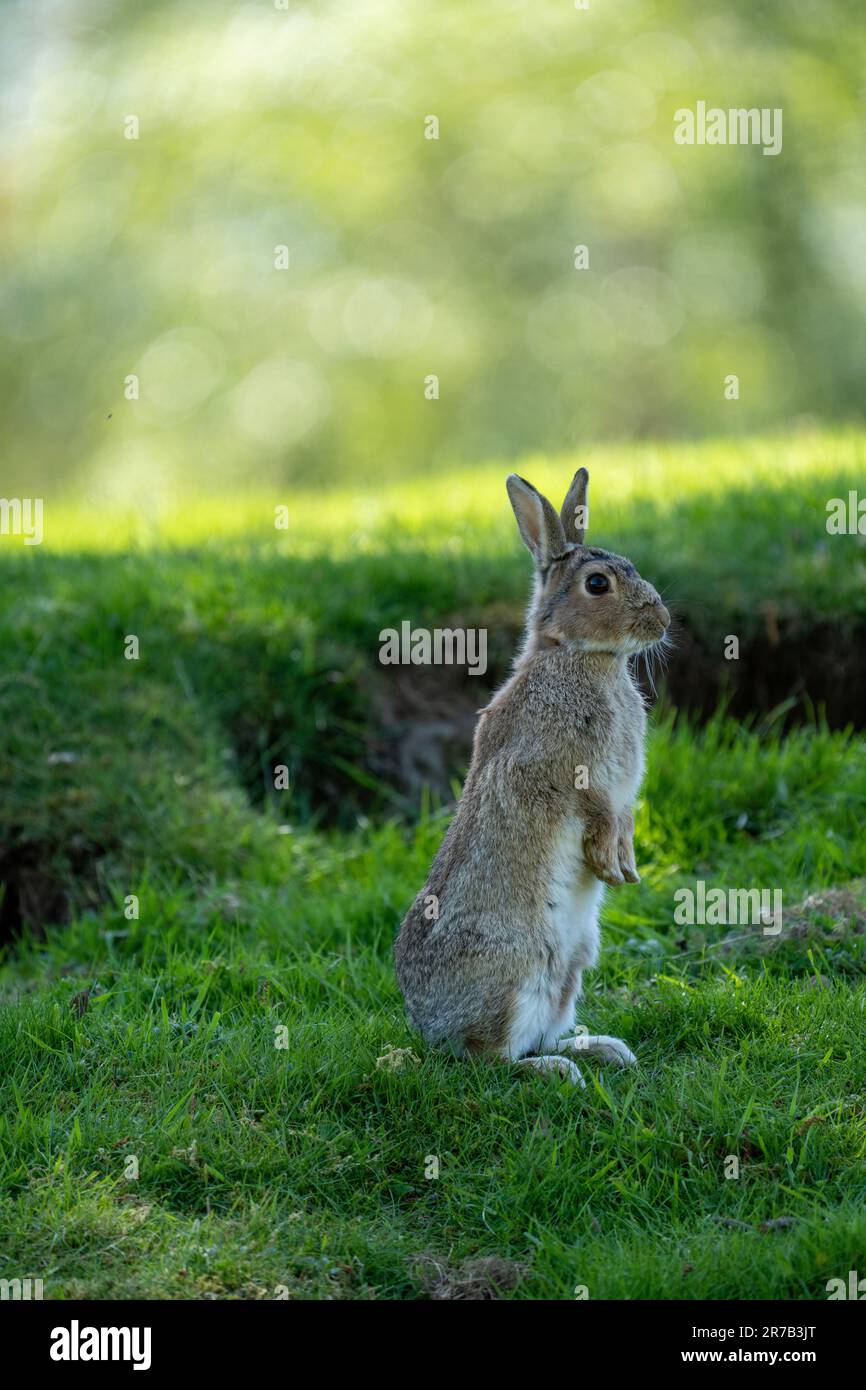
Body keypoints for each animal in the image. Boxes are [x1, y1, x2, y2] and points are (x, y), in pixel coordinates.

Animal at [391, 467, 670, 1084]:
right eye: (597, 584)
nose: (661, 620)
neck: (582, 657)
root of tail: (427, 1027)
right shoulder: (556, 770)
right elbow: (592, 808)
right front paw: (610, 862)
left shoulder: (622, 788)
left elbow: (624, 813)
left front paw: (625, 864)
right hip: (518, 967)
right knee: (492, 1059)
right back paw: (557, 1070)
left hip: (574, 964)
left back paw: (602, 1050)